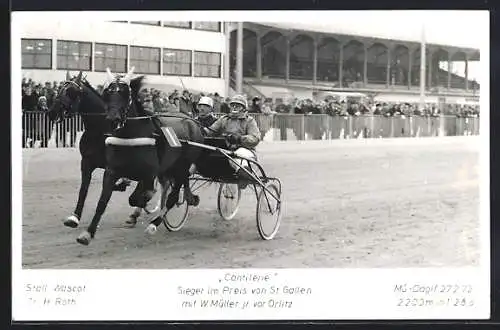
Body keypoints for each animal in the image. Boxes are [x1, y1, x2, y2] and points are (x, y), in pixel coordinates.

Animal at [47, 70, 156, 229]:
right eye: (60, 89)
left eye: (72, 92)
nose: (52, 112)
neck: (99, 130)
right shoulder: (87, 162)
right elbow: (83, 190)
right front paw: (75, 217)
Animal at [75, 68, 204, 245]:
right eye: (108, 93)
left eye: (125, 94)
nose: (113, 118)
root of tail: (192, 122)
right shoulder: (111, 171)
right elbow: (102, 201)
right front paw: (88, 233)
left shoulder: (149, 173)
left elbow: (139, 196)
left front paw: (141, 205)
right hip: (171, 168)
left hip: (182, 167)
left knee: (173, 196)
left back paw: (155, 223)